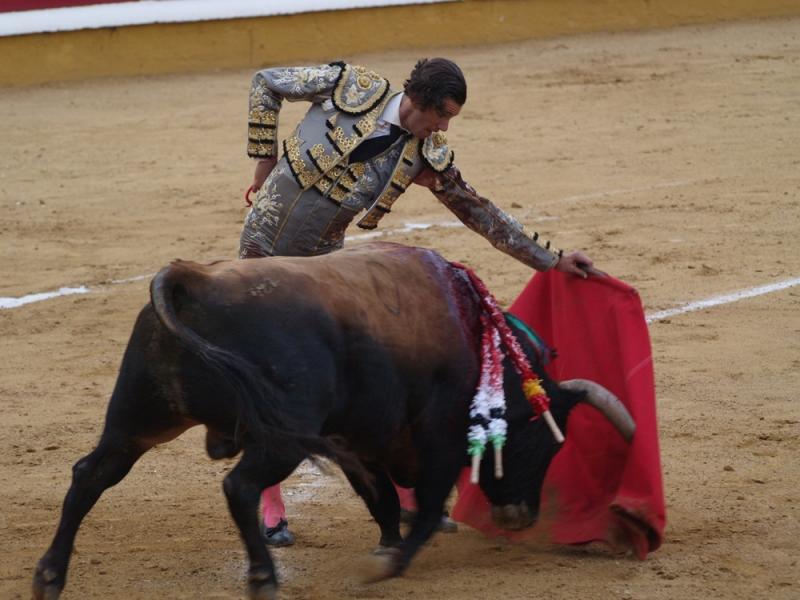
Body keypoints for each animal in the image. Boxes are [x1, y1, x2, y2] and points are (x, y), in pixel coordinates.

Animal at [31, 243, 636, 600]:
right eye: (543, 441)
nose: (519, 516)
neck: (475, 334)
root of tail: (192, 279)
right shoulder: (436, 438)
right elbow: (423, 505)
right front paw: (388, 564)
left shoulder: (359, 441)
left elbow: (384, 500)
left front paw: (385, 544)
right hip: (278, 436)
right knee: (239, 486)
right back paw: (263, 578)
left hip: (137, 418)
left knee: (90, 474)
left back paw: (50, 576)